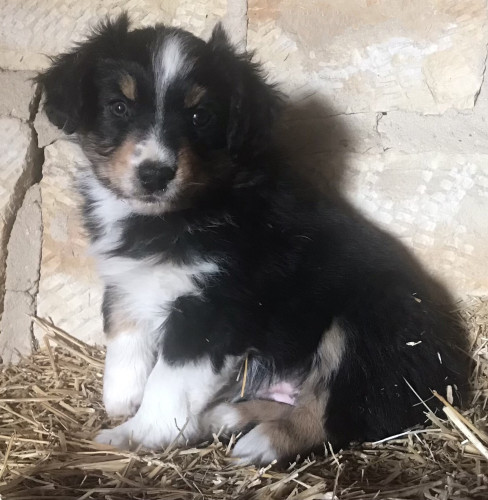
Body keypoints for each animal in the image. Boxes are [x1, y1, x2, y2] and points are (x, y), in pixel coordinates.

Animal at [38, 14, 468, 464]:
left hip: (366, 332)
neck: (175, 214)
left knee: (336, 414)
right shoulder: (128, 279)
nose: (155, 175)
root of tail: (451, 374)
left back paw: (261, 441)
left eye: (200, 116)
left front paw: (140, 433)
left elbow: (169, 378)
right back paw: (223, 416)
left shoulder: (214, 306)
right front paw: (123, 401)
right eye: (119, 107)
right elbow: (125, 341)